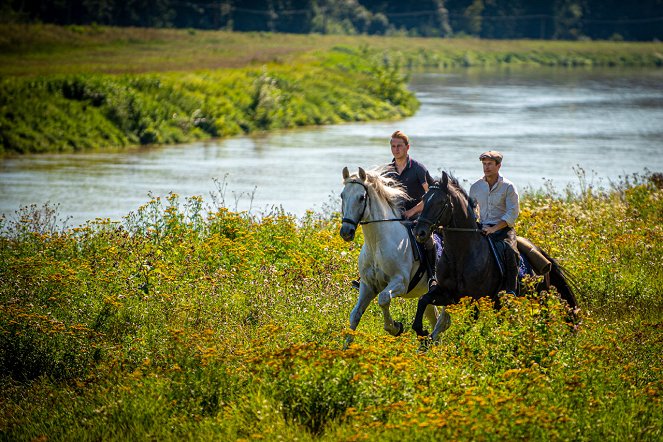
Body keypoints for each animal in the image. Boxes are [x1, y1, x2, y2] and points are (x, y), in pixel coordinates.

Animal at [342, 167, 440, 348]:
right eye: (342, 196)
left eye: (361, 197)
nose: (346, 231)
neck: (376, 244)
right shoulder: (368, 285)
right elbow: (355, 314)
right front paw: (345, 348)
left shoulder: (400, 283)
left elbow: (383, 299)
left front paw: (395, 327)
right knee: (435, 318)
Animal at [412, 173, 580, 342]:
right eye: (424, 198)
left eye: (441, 202)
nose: (419, 232)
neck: (460, 256)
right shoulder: (448, 294)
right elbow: (422, 300)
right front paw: (422, 331)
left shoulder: (475, 298)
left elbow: (468, 325)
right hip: (500, 302)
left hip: (539, 296)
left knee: (545, 317)